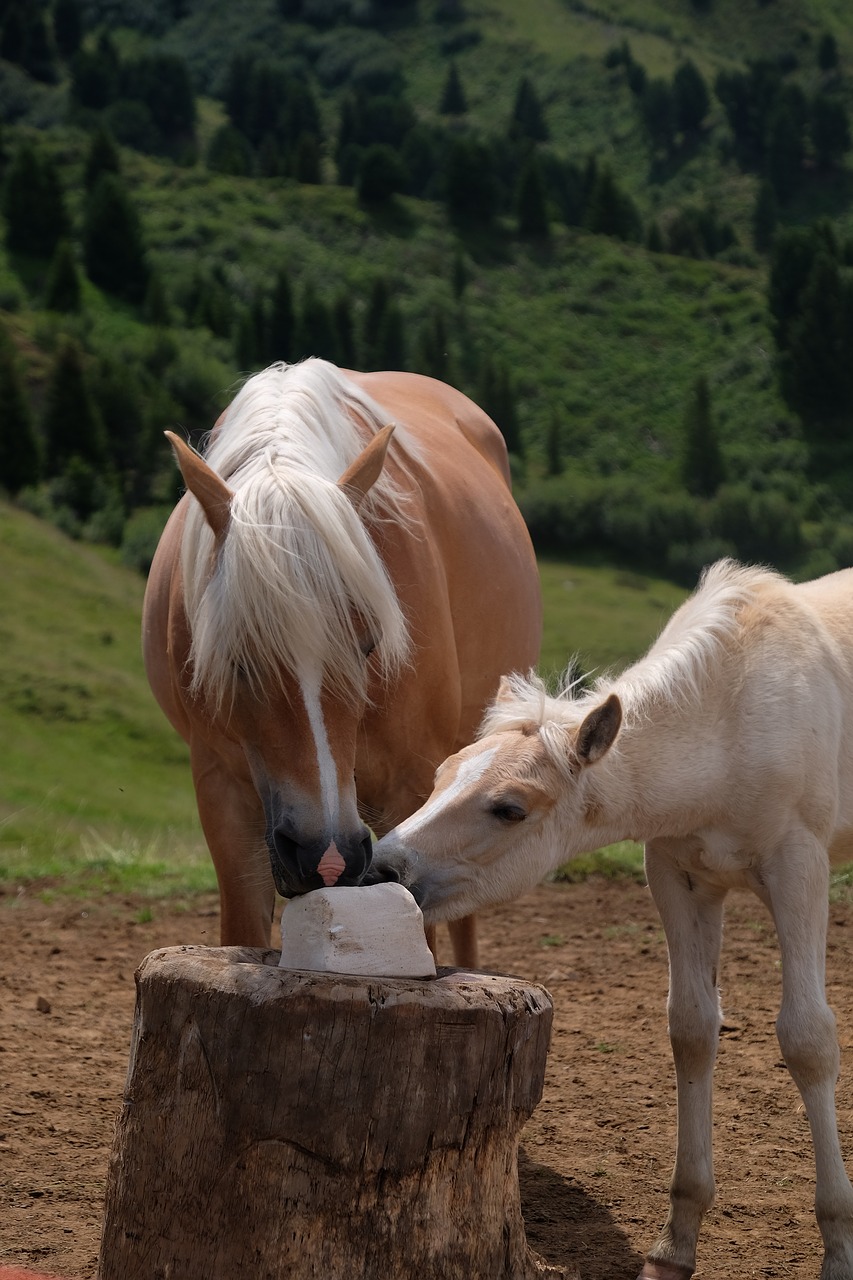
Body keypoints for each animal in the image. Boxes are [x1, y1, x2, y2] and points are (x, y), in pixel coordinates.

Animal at [373, 560, 853, 1280]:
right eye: (441, 775)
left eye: (509, 807)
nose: (380, 864)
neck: (731, 715)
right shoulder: (678, 876)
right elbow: (692, 1028)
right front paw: (675, 1243)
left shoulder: (799, 867)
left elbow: (807, 1039)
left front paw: (838, 1246)